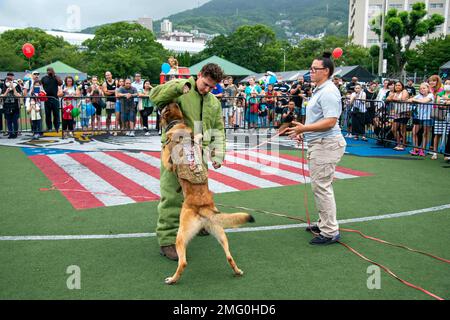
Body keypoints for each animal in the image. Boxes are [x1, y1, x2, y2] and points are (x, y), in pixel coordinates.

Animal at [161, 103, 253, 284]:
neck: (178, 123)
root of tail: (203, 207)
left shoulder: (167, 160)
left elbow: (164, 157)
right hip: (220, 233)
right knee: (229, 256)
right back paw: (237, 271)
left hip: (181, 236)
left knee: (183, 262)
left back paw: (172, 279)